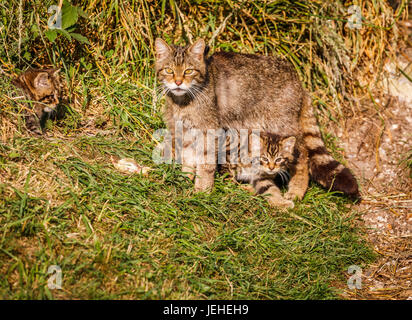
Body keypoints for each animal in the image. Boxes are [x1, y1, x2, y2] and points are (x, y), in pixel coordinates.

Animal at [154, 37, 358, 198]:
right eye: (168, 70)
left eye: (188, 71)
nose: (178, 82)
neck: (182, 102)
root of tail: (299, 81)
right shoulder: (185, 132)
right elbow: (189, 159)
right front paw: (185, 179)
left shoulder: (209, 133)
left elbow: (205, 165)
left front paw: (201, 191)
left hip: (282, 128)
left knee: (302, 156)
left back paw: (296, 191)